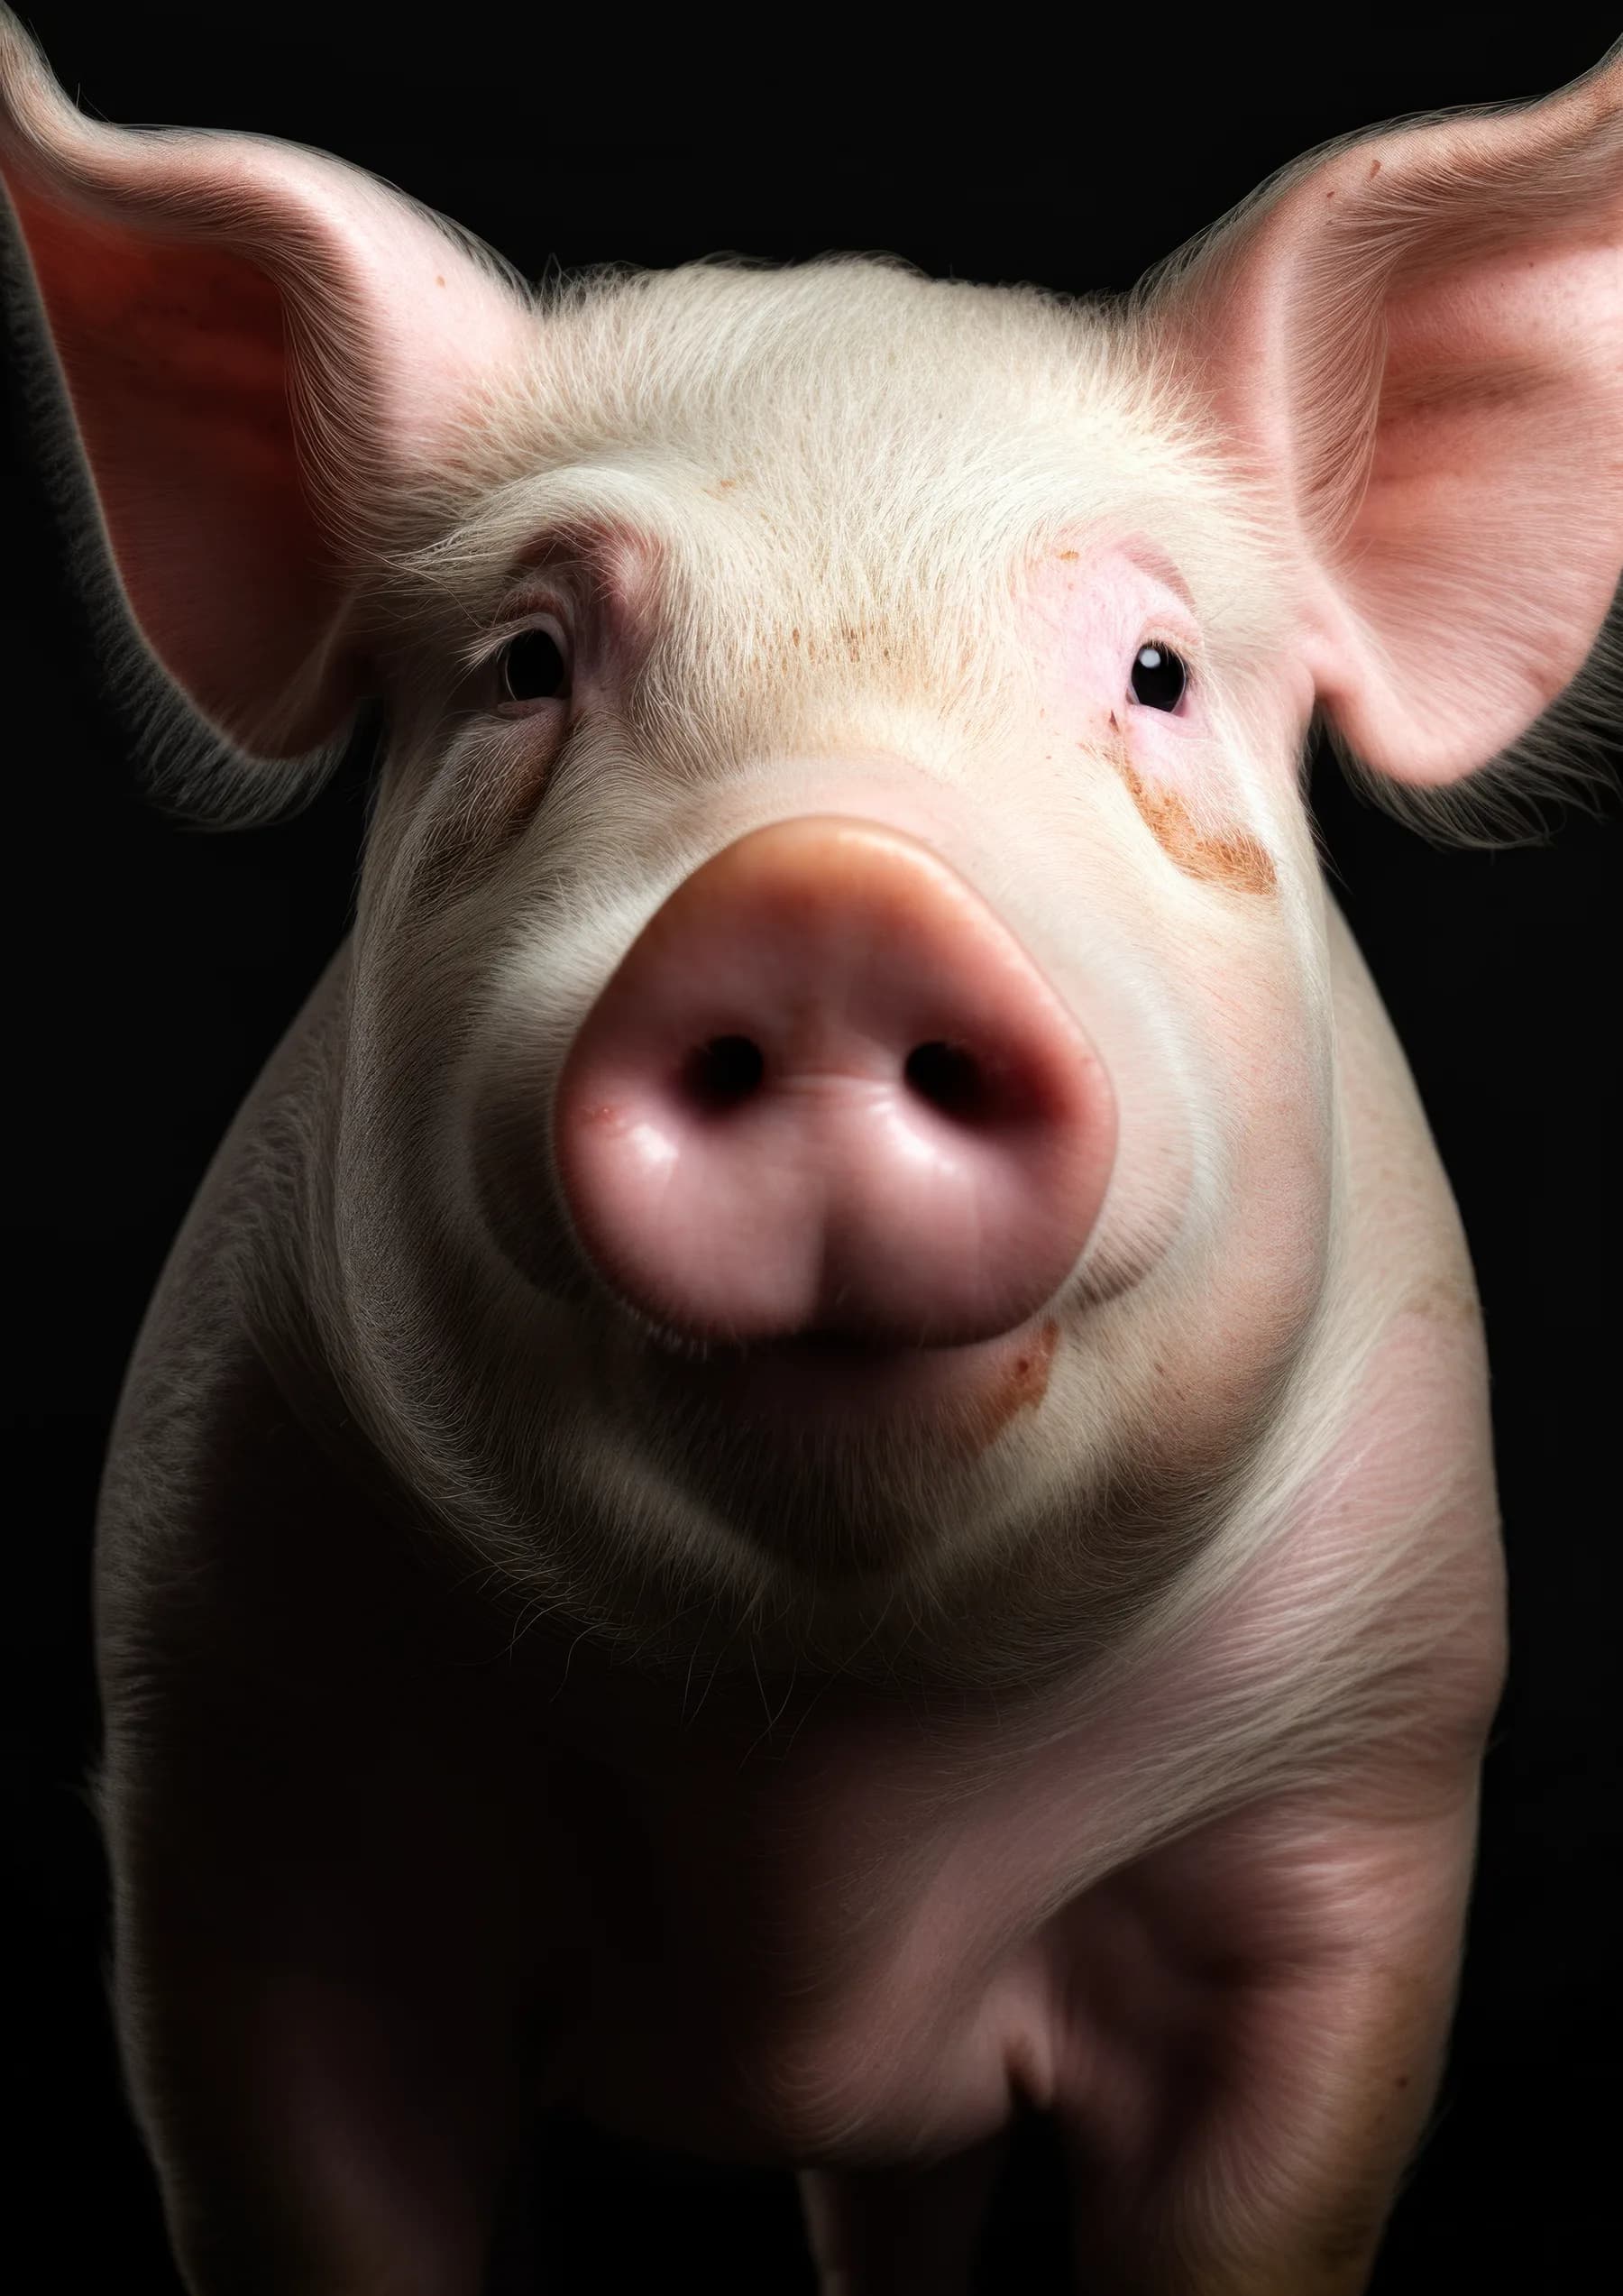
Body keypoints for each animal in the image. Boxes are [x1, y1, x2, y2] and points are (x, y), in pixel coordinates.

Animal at [3, 10, 1620, 2291]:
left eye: (1155, 672)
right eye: (528, 666)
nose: (828, 894)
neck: (825, 1804)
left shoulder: (1355, 1800)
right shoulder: (237, 1782)